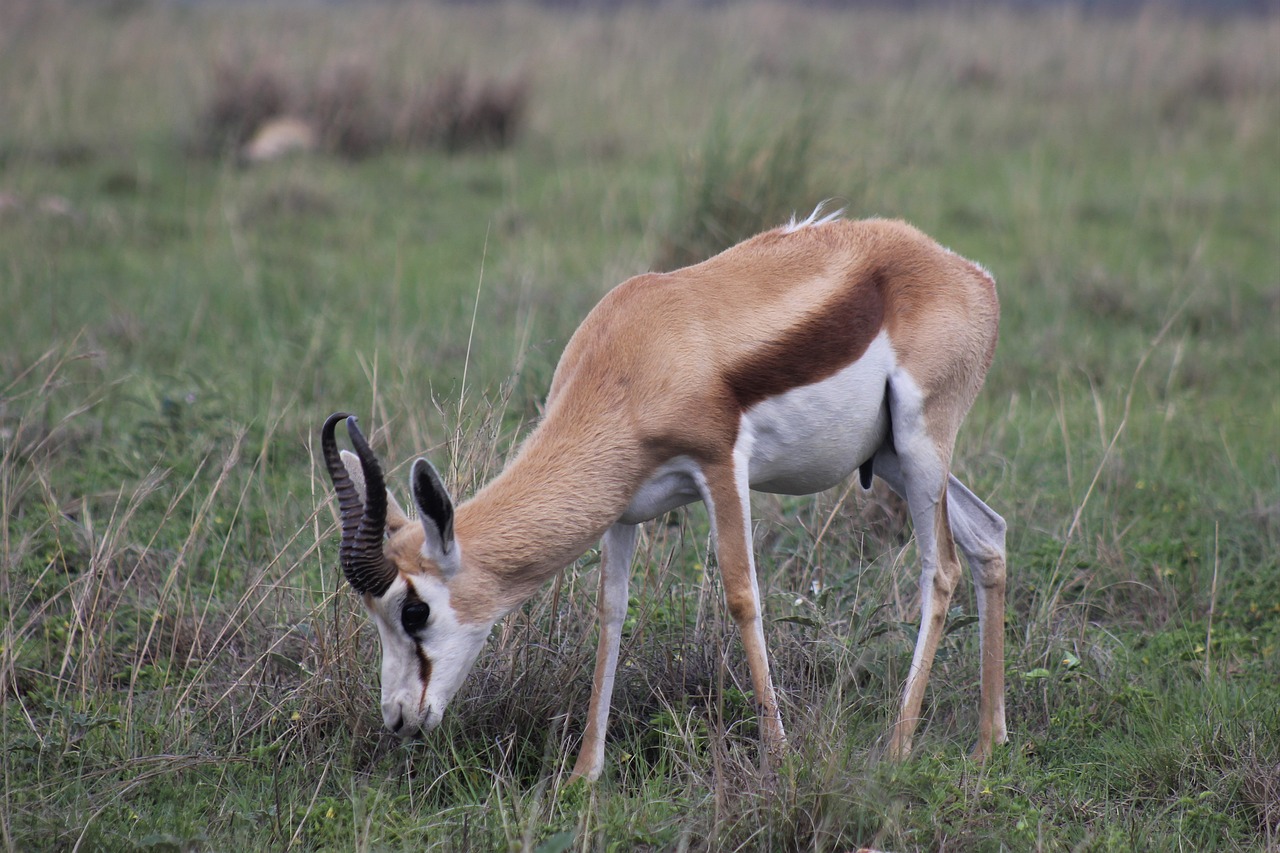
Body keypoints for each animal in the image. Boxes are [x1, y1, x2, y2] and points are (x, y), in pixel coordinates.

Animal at [320, 211, 1008, 778]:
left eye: (414, 611)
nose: (399, 718)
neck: (632, 358)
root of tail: (973, 274)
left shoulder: (721, 466)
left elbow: (742, 596)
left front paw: (780, 758)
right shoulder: (622, 508)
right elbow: (610, 612)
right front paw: (585, 775)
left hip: (921, 444)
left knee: (941, 568)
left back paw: (897, 747)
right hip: (891, 458)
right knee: (989, 535)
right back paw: (988, 743)